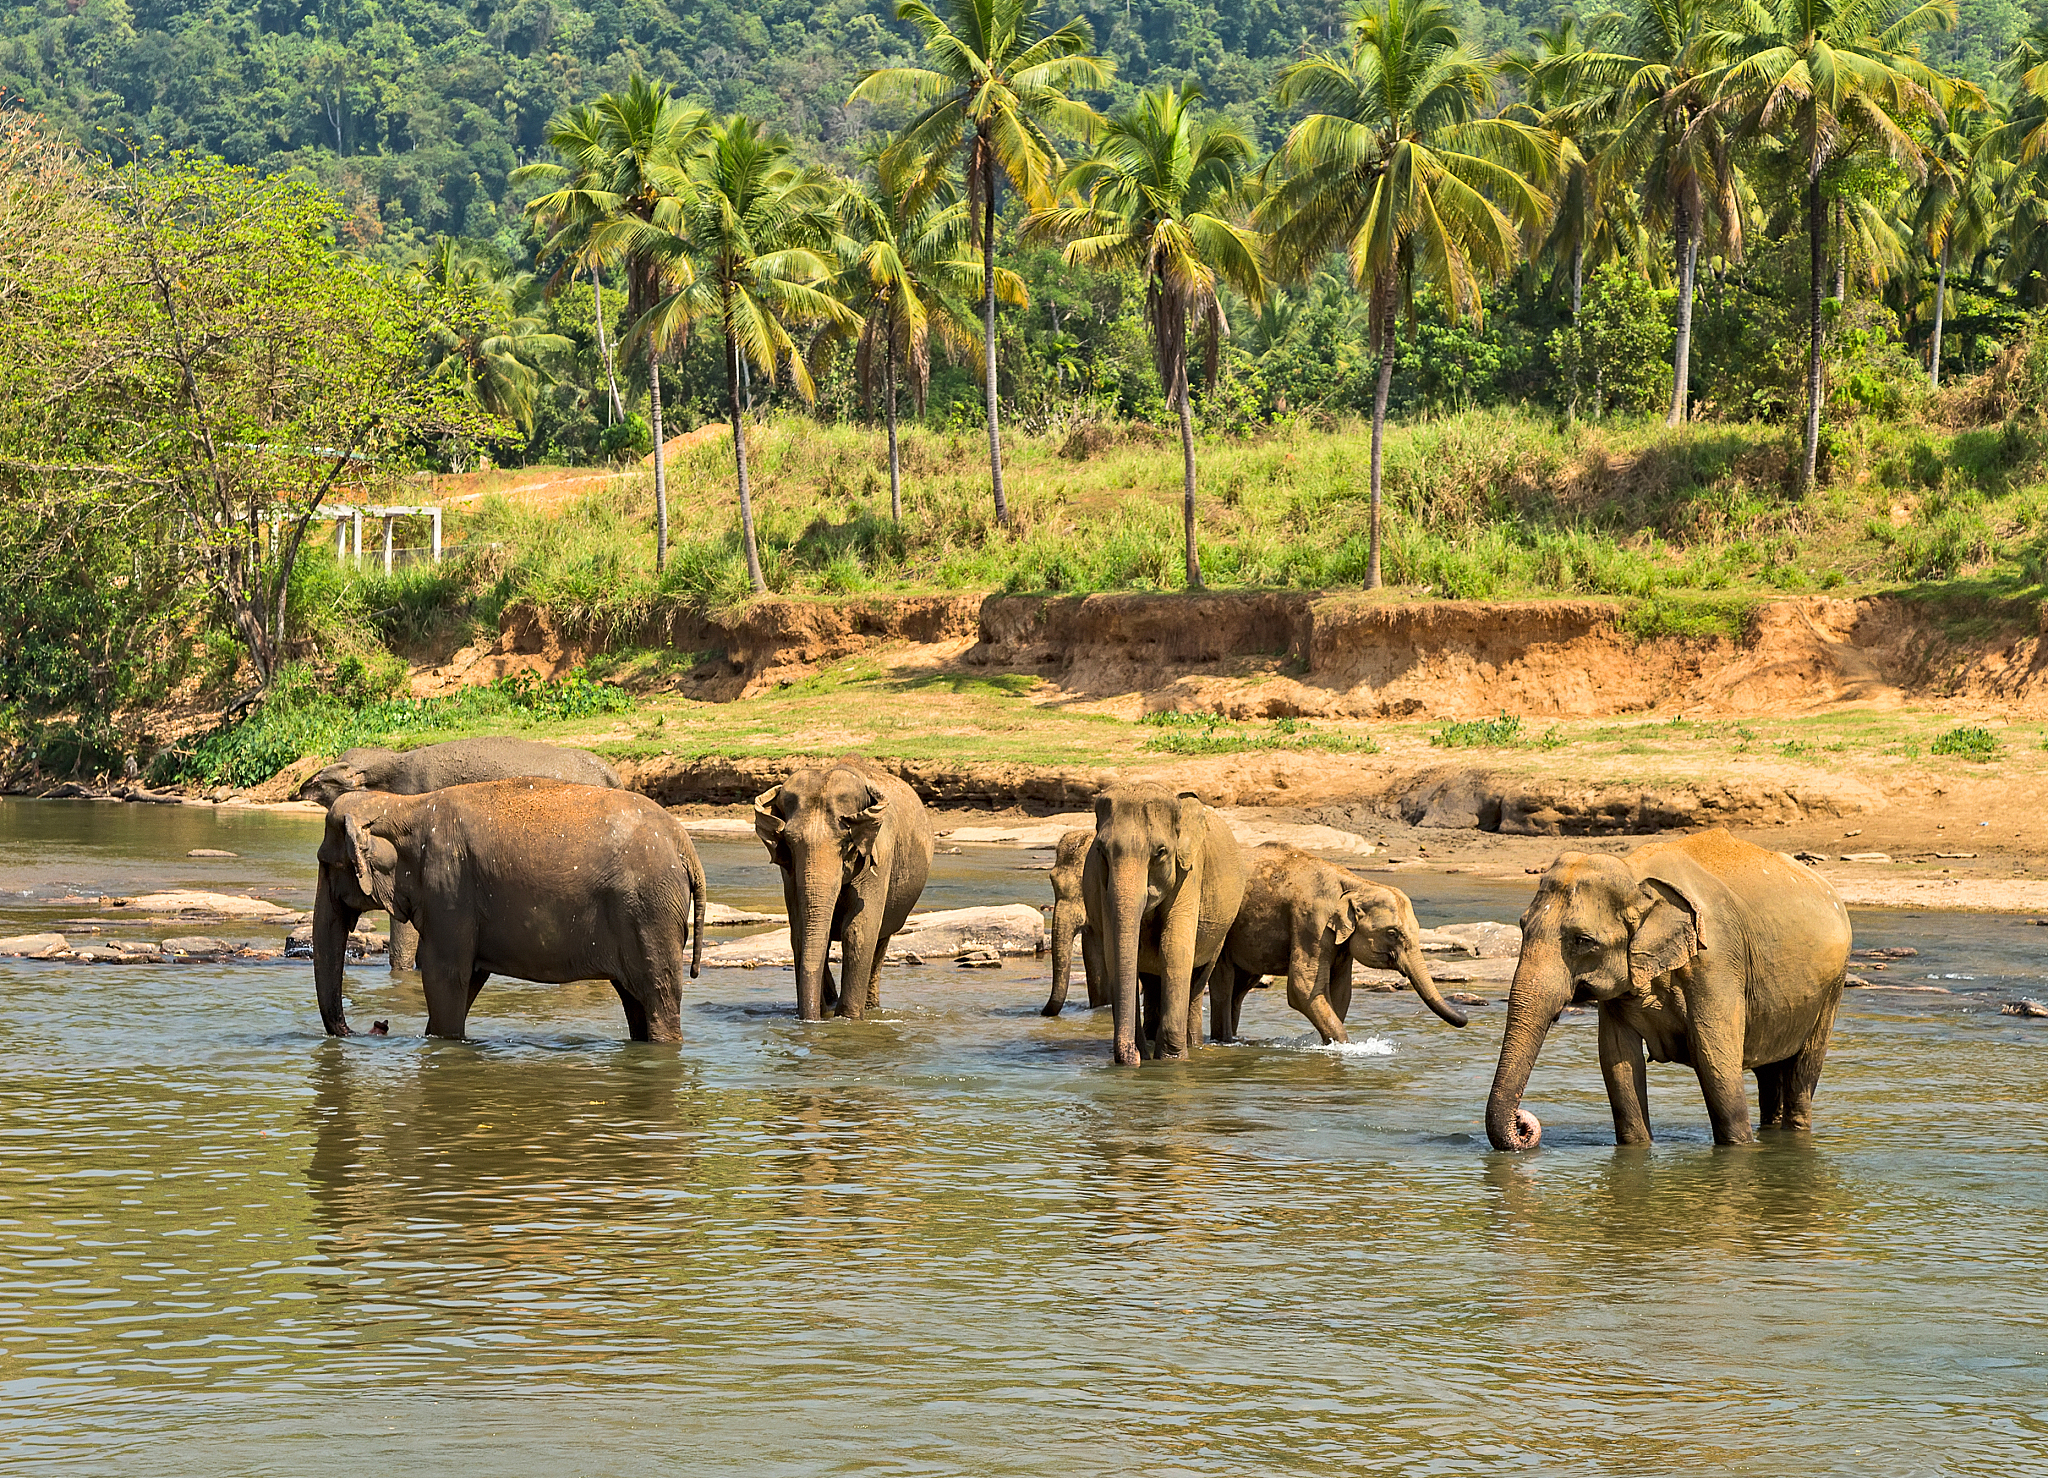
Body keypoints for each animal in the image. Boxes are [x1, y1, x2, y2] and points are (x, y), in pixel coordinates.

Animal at [313, 779, 706, 1042]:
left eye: (329, 865)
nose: (378, 1025)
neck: (403, 805)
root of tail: (685, 845)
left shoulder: (448, 888)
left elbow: (445, 976)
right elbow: (468, 979)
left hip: (649, 911)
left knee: (657, 998)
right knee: (635, 1000)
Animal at [754, 757, 934, 1022]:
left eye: (846, 842)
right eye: (790, 842)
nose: (810, 1020)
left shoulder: (881, 853)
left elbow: (858, 931)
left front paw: (847, 1019)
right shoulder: (789, 873)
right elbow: (801, 930)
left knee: (880, 941)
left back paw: (868, 1007)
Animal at [1084, 785, 1247, 1064]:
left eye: (1160, 852)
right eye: (1101, 852)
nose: (1133, 1057)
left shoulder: (1190, 873)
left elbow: (1175, 948)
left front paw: (1171, 1060)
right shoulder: (1103, 885)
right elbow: (1114, 952)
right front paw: (1145, 1055)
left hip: (1221, 933)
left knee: (1198, 979)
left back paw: (1193, 1044)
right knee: (1150, 981)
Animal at [1211, 844, 1470, 1043]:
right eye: (1393, 933)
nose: (1466, 1017)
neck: (1358, 884)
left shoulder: (1340, 941)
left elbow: (1341, 992)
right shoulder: (1310, 922)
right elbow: (1302, 989)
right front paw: (1342, 1046)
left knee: (1240, 987)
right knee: (1224, 982)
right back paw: (1224, 1041)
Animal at [1486, 827, 1851, 1151]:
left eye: (1583, 941)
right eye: (1522, 926)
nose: (1523, 1124)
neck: (1635, 874)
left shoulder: (1716, 961)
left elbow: (1714, 1056)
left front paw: (1739, 1150)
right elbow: (1617, 1059)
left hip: (1833, 986)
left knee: (1803, 1072)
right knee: (1770, 1075)